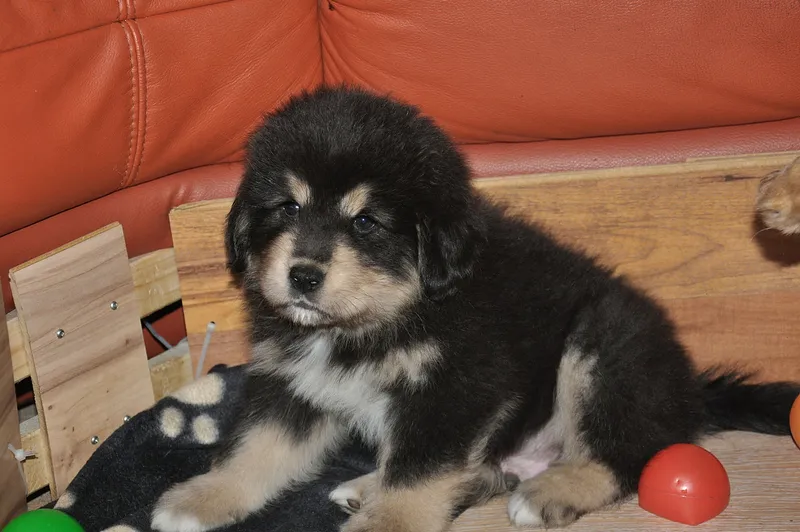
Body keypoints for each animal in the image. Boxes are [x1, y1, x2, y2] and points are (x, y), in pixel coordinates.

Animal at [152, 86, 800, 532]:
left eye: (366, 222)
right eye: (287, 206)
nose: (303, 276)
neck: (381, 319)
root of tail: (688, 388)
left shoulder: (457, 388)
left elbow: (419, 474)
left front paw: (386, 524)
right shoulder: (294, 385)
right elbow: (253, 450)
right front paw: (200, 499)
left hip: (603, 346)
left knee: (626, 454)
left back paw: (550, 492)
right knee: (489, 469)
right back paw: (372, 484)